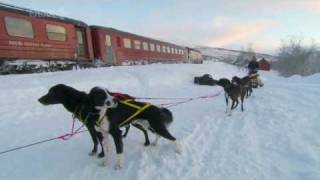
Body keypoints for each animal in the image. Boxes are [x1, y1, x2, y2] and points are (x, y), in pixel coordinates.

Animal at [37, 84, 180, 169]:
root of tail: (157, 107)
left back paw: (178, 150)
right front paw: (105, 161)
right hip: (149, 126)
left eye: (108, 93)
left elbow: (118, 151)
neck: (102, 113)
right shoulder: (104, 134)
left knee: (174, 138)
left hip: (154, 126)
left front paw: (118, 165)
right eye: (101, 95)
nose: (115, 100)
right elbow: (105, 149)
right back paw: (154, 143)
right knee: (158, 135)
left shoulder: (115, 133)